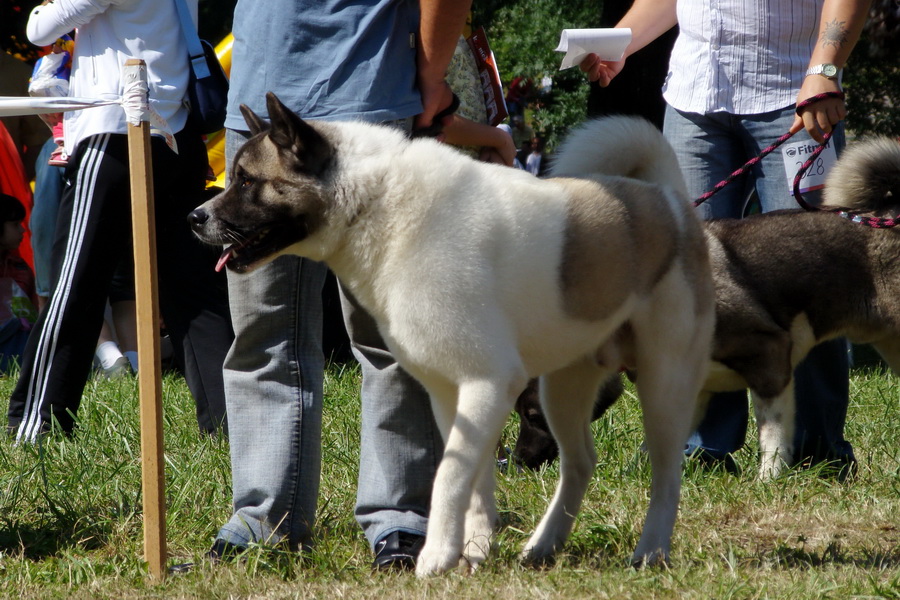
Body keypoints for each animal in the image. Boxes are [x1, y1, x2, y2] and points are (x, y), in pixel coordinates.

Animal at [190, 95, 716, 576]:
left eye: (247, 181)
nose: (194, 218)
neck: (376, 201)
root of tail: (670, 201)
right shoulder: (450, 394)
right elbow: (473, 479)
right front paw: (474, 552)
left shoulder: (488, 383)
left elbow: (449, 476)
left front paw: (436, 558)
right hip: (561, 389)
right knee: (580, 462)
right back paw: (543, 546)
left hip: (662, 385)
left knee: (667, 475)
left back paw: (650, 552)